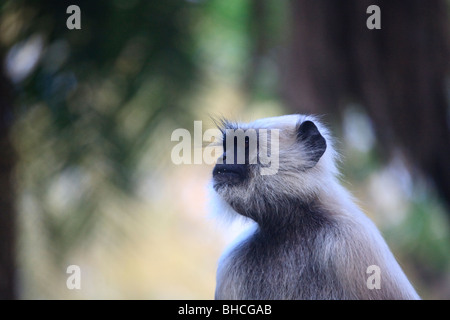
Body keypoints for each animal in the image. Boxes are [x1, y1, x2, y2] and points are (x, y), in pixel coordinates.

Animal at [210, 114, 418, 300]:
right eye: (229, 145)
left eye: (245, 143)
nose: (225, 156)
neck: (288, 228)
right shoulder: (231, 266)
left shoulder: (354, 241)